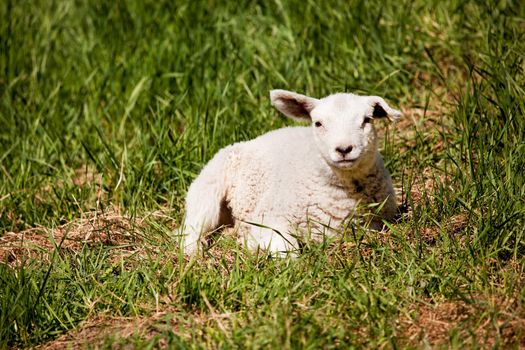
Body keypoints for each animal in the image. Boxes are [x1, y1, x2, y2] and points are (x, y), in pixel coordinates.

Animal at [180, 89, 402, 254]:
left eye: (367, 120)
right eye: (318, 123)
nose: (344, 149)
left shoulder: (378, 223)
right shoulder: (268, 217)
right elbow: (289, 252)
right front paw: (252, 244)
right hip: (208, 190)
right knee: (190, 231)